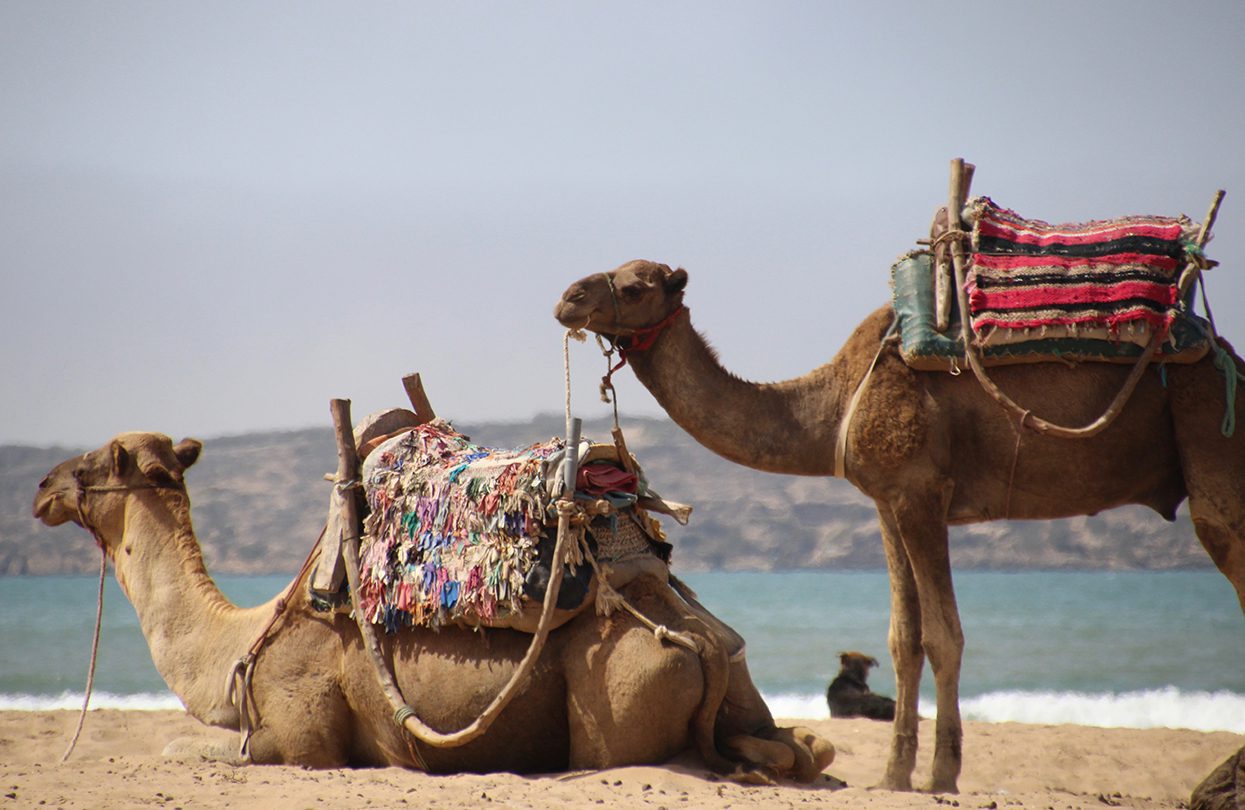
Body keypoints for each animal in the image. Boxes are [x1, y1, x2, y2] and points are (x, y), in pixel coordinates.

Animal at [34, 432, 836, 781]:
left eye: (94, 464)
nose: (41, 485)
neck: (241, 641)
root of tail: (701, 640)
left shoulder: (302, 736)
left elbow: (192, 748)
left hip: (625, 694)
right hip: (735, 673)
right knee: (795, 743)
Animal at [555, 262, 1245, 796]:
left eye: (636, 286)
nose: (568, 299)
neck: (833, 405)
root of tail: (1227, 358)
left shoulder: (921, 493)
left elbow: (943, 634)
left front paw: (941, 775)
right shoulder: (887, 500)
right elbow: (903, 637)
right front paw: (893, 776)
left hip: (1208, 427)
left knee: (1225, 539)